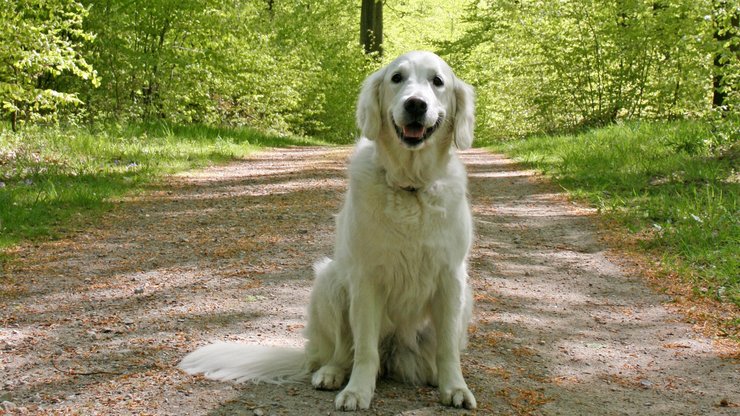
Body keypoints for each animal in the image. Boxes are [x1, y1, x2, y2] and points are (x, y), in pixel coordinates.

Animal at [182, 50, 476, 412]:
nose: (416, 105)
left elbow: (448, 348)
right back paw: (332, 374)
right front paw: (357, 391)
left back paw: (432, 373)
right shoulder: (366, 279)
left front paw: (455, 387)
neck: (410, 187)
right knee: (341, 351)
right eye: (397, 78)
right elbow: (364, 350)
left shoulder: (451, 277)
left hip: (465, 298)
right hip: (329, 281)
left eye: (438, 81)